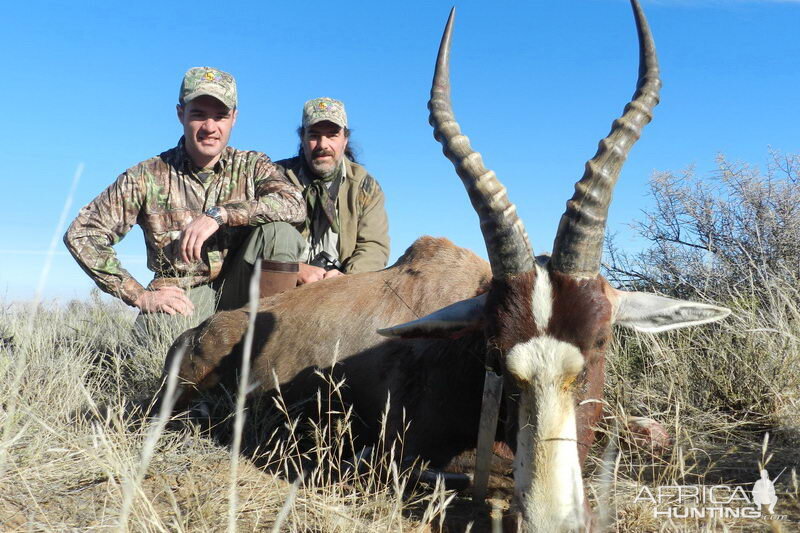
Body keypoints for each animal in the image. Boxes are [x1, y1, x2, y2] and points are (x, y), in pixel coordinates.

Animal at [167, 2, 732, 528]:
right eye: (495, 354)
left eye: (600, 343)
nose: (554, 519)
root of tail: (200, 331)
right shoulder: (413, 454)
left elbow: (653, 432)